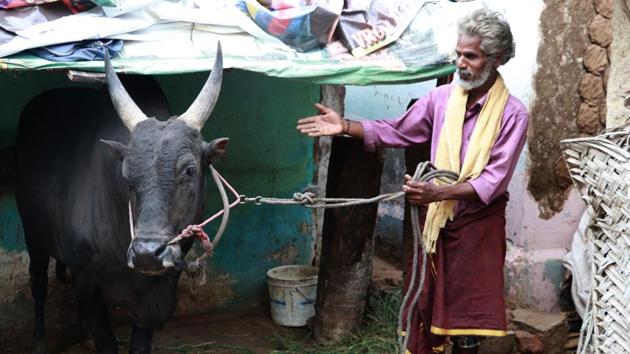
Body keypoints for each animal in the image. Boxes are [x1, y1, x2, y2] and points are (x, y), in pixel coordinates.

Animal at [14, 48, 228, 352]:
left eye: (189, 170)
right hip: (33, 233)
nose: (147, 253)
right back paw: (39, 341)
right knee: (38, 283)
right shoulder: (86, 280)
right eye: (126, 174)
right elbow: (106, 342)